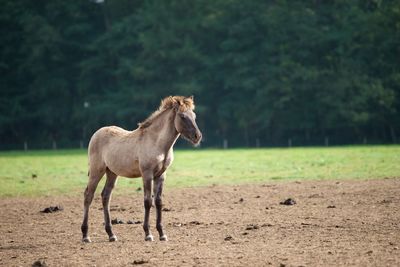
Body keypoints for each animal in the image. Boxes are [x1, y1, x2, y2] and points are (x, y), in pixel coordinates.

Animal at [81, 96, 202, 243]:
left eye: (194, 116)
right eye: (183, 116)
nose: (197, 136)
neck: (157, 143)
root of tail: (96, 134)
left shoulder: (161, 175)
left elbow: (159, 202)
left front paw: (162, 234)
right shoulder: (147, 174)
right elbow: (148, 201)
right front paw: (148, 234)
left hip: (112, 173)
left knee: (105, 196)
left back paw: (111, 235)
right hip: (96, 170)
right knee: (88, 196)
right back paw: (86, 236)